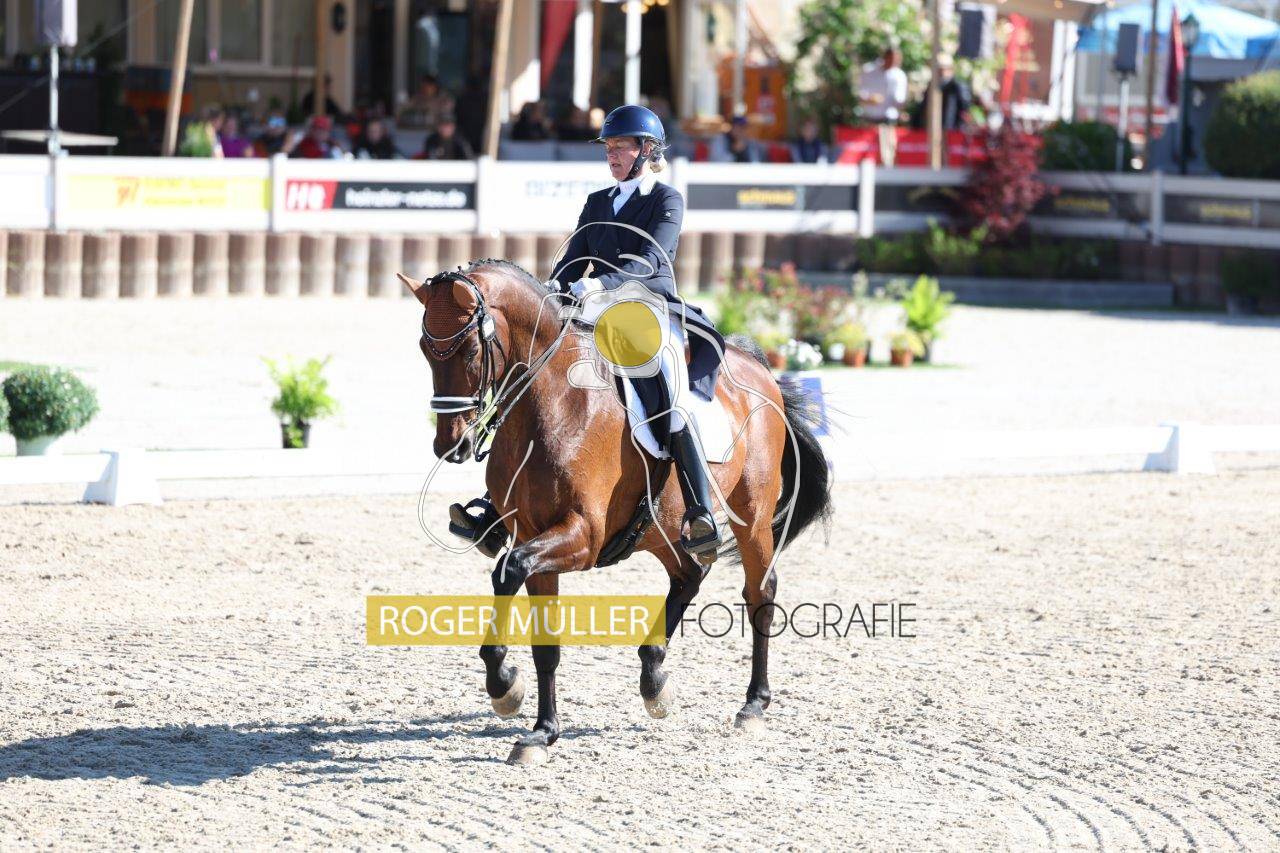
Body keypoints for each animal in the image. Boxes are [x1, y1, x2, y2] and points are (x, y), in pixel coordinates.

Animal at [399, 259, 832, 765]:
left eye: (469, 350)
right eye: (425, 350)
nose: (452, 446)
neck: (552, 401)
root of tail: (759, 368)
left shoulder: (581, 536)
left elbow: (510, 570)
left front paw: (505, 686)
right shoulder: (532, 533)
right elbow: (541, 636)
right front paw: (539, 728)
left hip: (753, 516)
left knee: (759, 591)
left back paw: (753, 706)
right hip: (658, 527)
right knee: (690, 572)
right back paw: (654, 680)